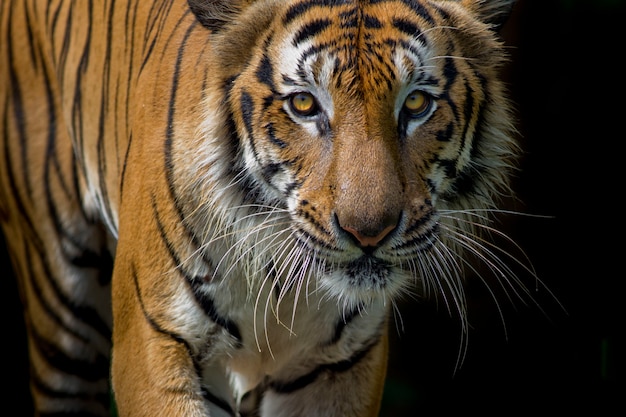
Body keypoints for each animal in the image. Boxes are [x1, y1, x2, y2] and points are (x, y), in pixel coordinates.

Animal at [0, 0, 528, 414]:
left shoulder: (339, 364)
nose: (369, 233)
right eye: (304, 105)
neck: (277, 280)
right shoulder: (155, 345)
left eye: (416, 103)